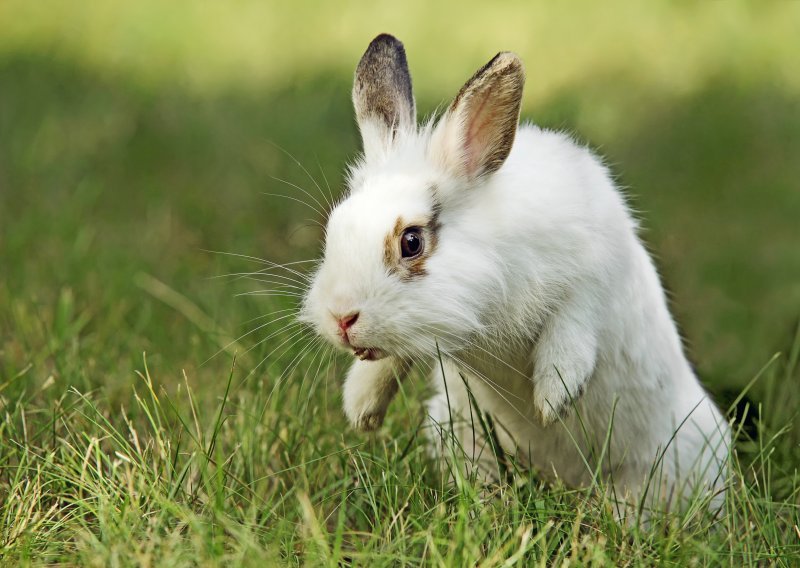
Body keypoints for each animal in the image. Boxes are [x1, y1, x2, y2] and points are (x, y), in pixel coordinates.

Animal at [300, 34, 732, 516]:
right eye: (335, 226)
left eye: (411, 241)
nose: (341, 318)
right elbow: (389, 361)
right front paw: (361, 408)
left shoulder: (592, 274)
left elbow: (573, 326)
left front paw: (553, 398)